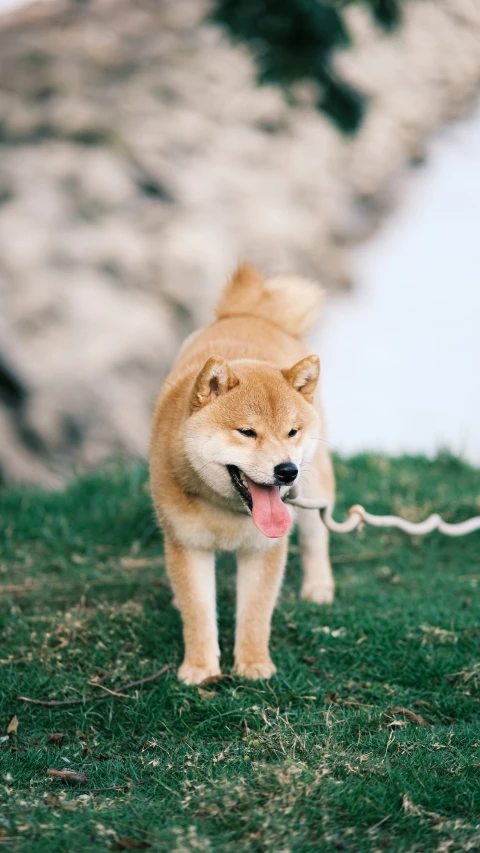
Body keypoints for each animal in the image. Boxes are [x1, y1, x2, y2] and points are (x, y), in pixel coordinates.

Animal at [150, 262, 334, 684]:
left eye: (291, 432)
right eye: (247, 432)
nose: (287, 471)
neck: (228, 512)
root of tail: (252, 313)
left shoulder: (264, 550)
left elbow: (255, 613)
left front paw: (252, 664)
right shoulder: (188, 546)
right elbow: (198, 613)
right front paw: (201, 668)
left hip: (316, 483)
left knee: (317, 535)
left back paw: (319, 584)